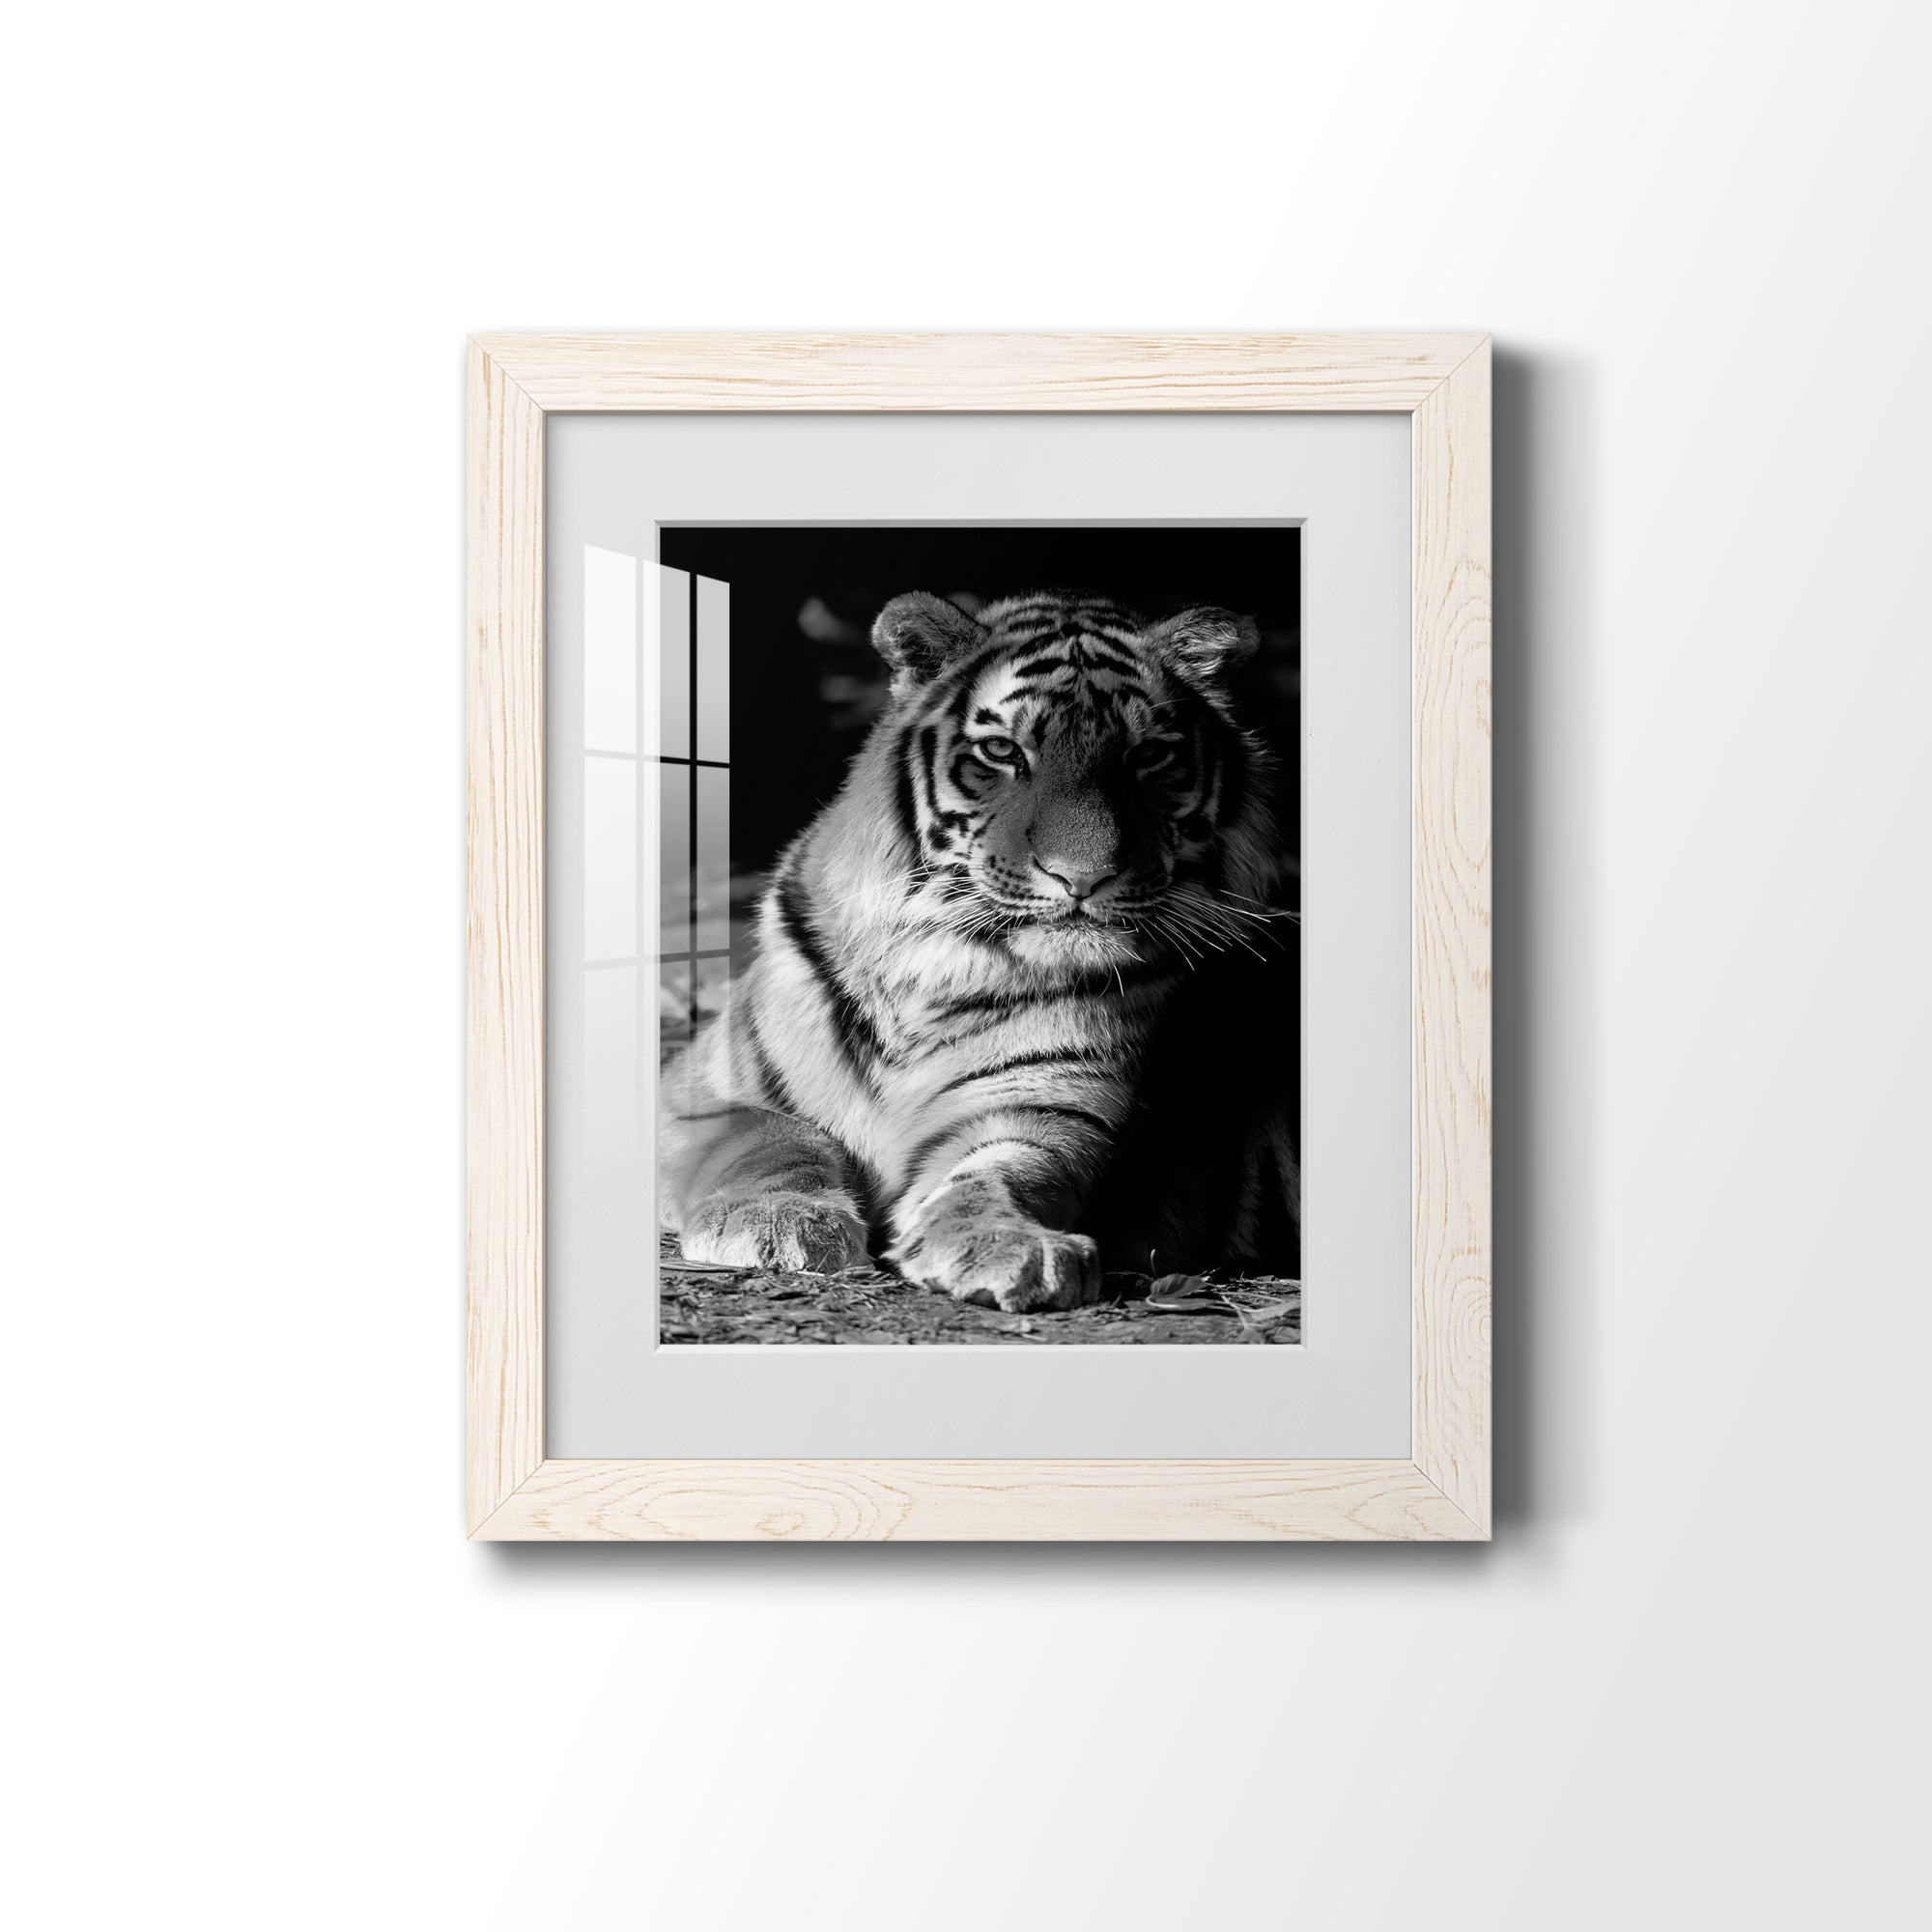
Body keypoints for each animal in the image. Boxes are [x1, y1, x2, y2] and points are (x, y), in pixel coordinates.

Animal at [657, 588, 1300, 1315]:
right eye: (1002, 751)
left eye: (1146, 757)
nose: (1083, 878)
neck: (936, 965)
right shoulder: (699, 1092)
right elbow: (772, 1139)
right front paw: (780, 1223)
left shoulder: (1042, 1110)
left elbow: (999, 1175)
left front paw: (1007, 1246)